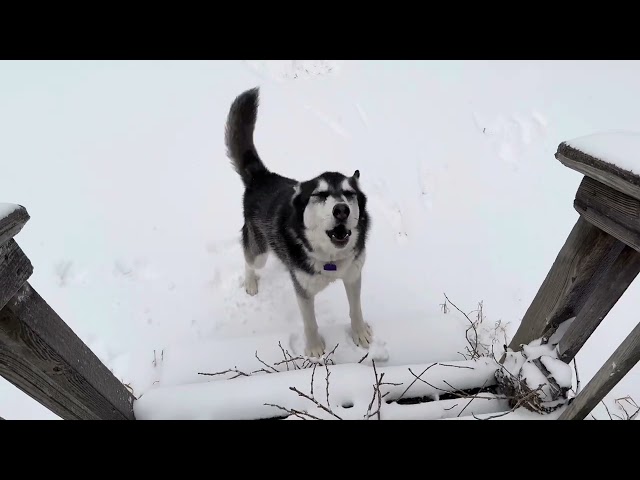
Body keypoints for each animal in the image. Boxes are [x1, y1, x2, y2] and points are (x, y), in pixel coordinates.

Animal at [222, 87, 372, 356]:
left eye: (349, 193)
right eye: (320, 195)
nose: (341, 210)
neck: (330, 260)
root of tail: (262, 176)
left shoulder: (353, 275)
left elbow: (355, 309)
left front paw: (359, 333)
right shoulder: (303, 290)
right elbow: (310, 322)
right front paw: (314, 349)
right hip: (259, 251)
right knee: (249, 260)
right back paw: (250, 283)